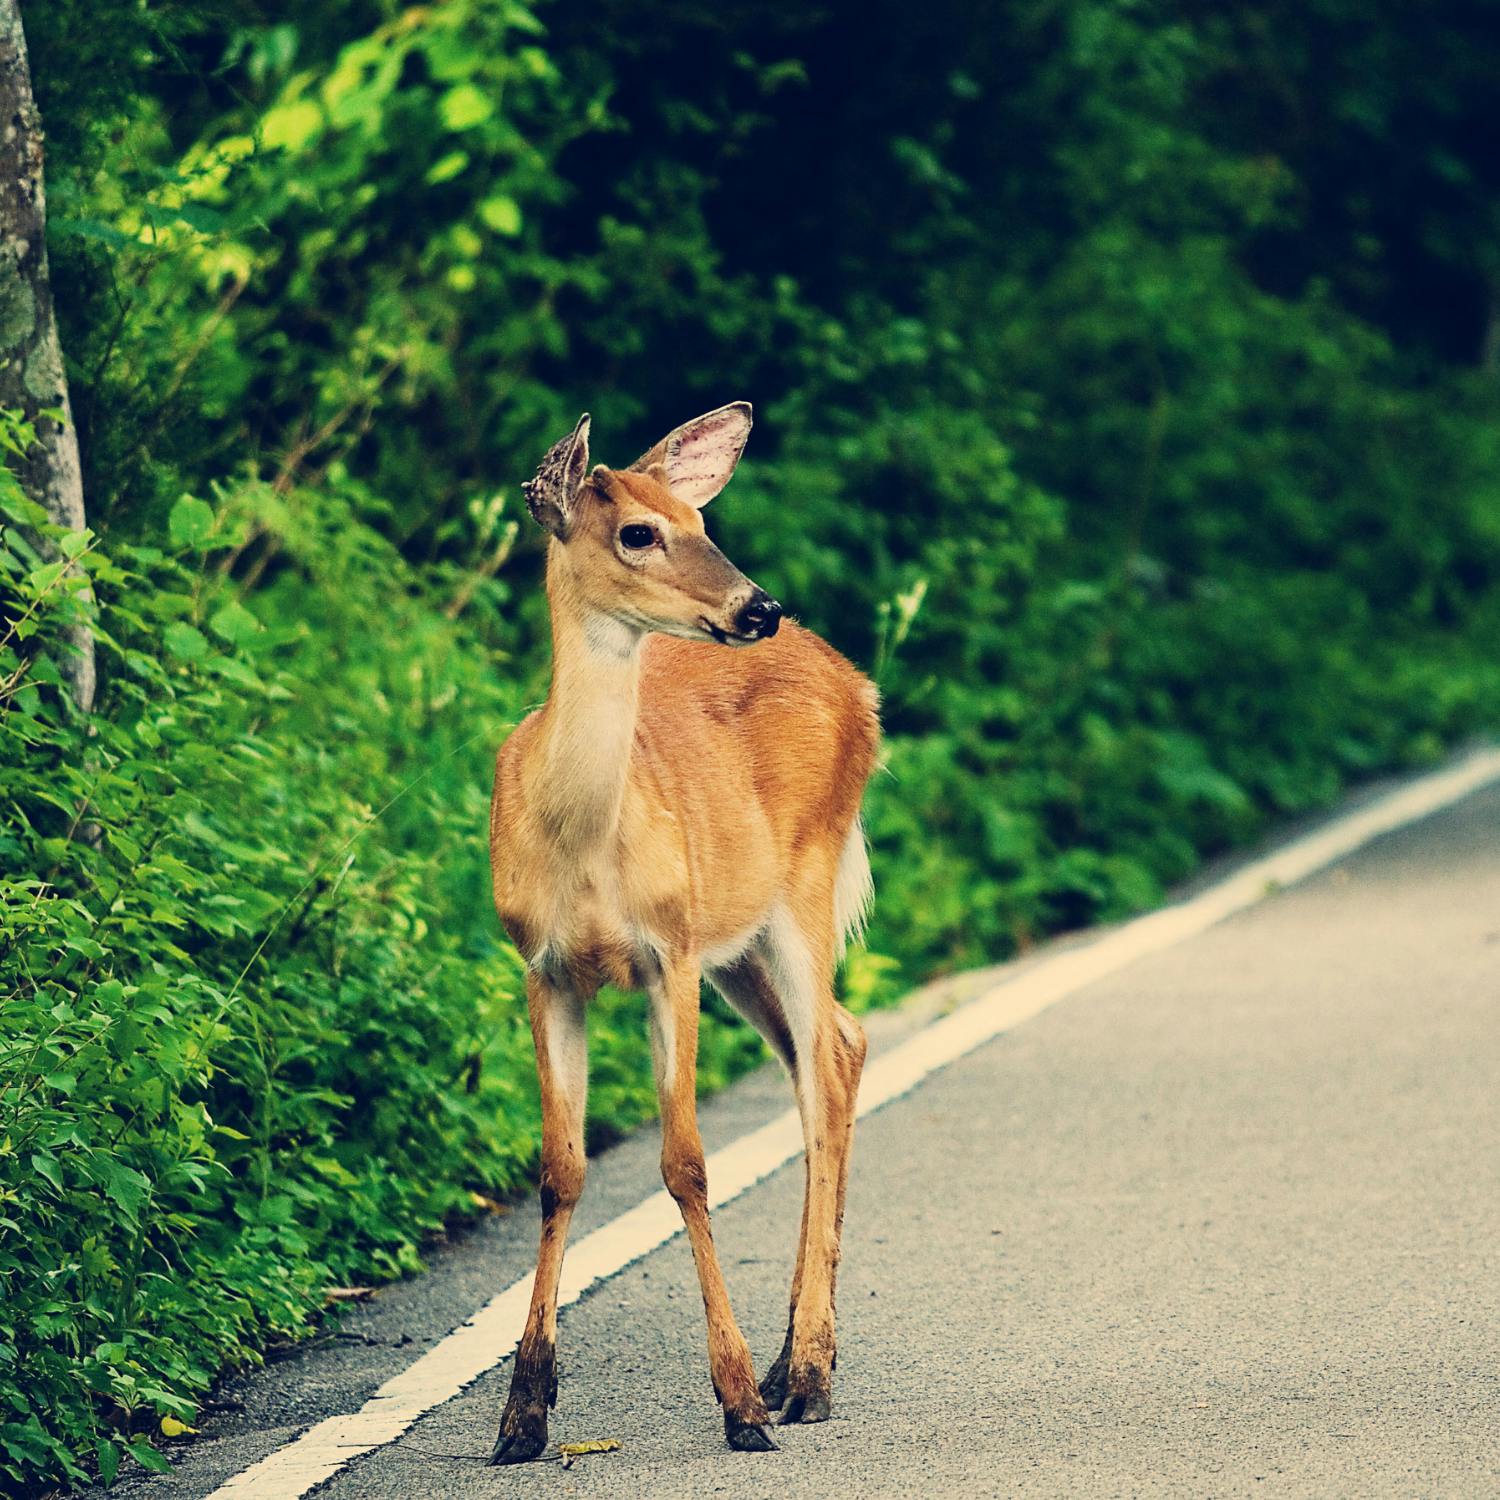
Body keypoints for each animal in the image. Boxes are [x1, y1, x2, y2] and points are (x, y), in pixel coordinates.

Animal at [486, 402, 880, 1462]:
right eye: (637, 532)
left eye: (700, 521)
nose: (758, 606)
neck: (582, 844)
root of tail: (857, 682)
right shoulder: (544, 968)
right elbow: (560, 1170)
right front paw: (522, 1414)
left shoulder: (669, 954)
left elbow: (686, 1163)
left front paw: (737, 1403)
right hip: (740, 943)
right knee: (832, 1052)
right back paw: (798, 1361)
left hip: (802, 886)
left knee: (826, 1068)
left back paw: (805, 1374)